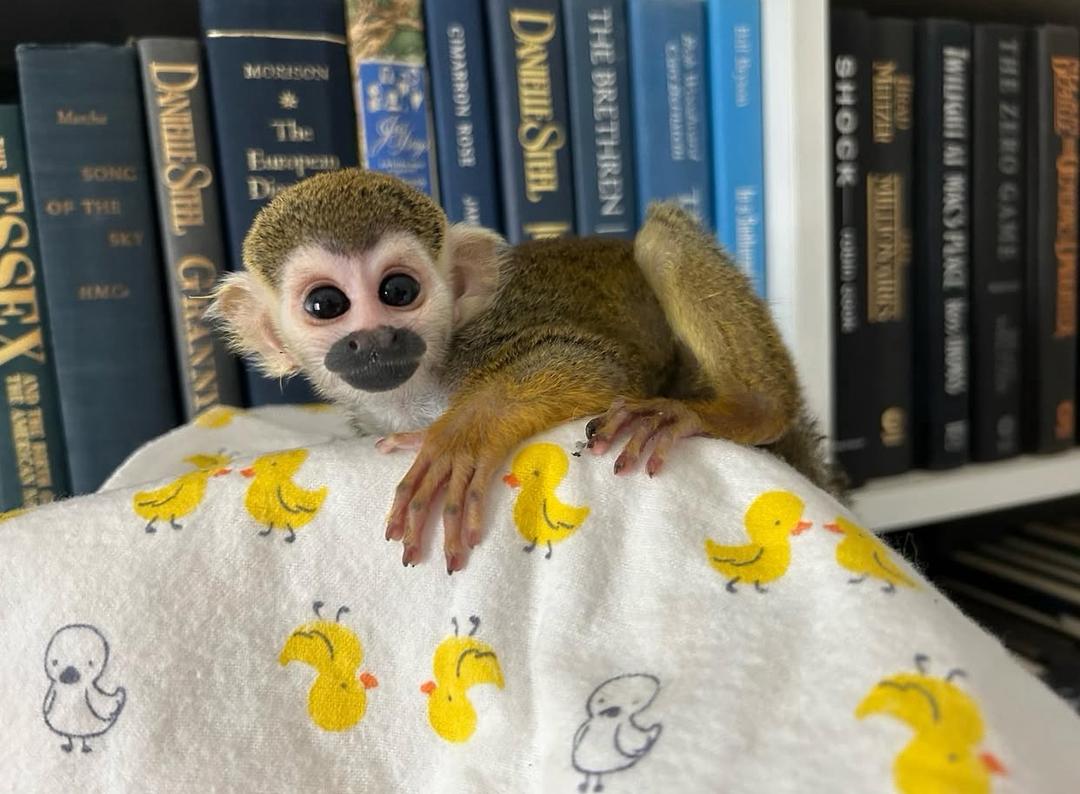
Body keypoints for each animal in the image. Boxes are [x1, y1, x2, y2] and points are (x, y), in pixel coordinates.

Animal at [209, 168, 842, 574]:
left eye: (398, 291)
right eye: (326, 305)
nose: (374, 340)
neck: (421, 388)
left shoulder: (484, 338)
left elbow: (591, 364)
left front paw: (463, 434)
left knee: (660, 237)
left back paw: (750, 408)